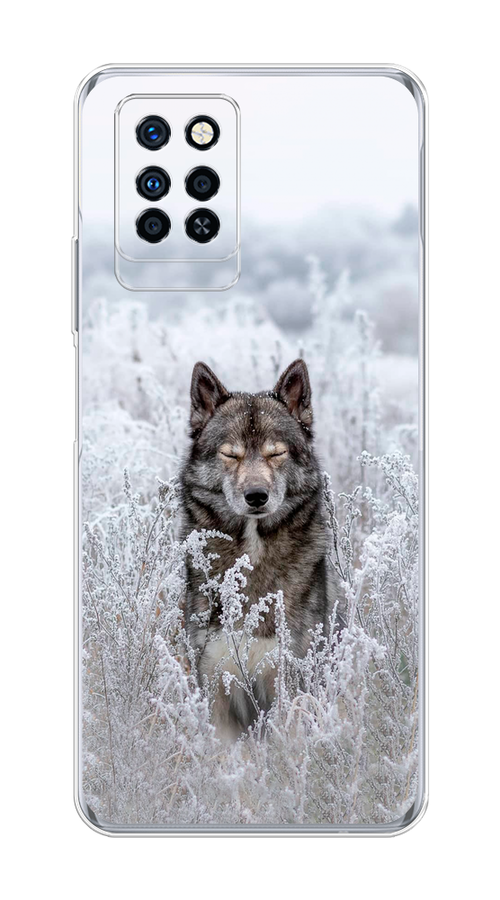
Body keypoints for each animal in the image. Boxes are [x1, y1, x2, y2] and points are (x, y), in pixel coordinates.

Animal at [180, 358, 341, 738]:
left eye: (276, 453)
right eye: (230, 454)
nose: (256, 496)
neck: (253, 556)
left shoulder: (287, 682)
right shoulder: (216, 686)